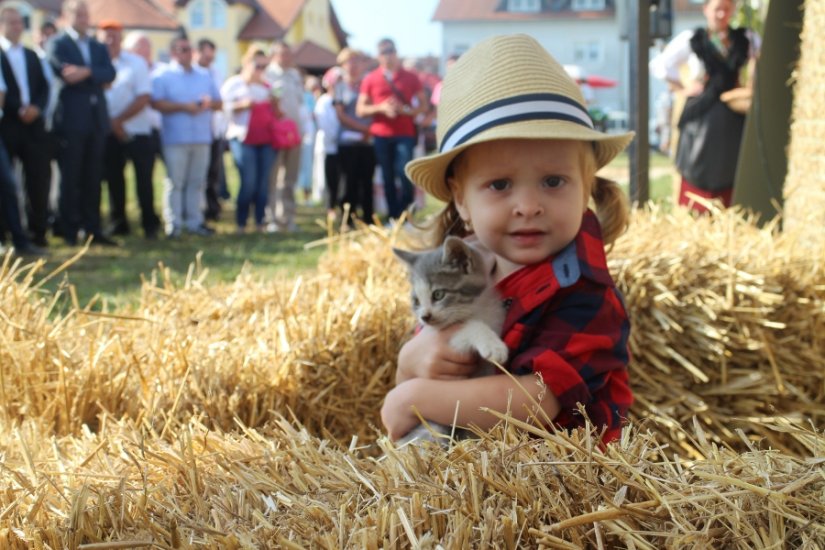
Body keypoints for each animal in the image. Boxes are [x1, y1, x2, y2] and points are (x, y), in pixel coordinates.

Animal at [390, 235, 506, 446]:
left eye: (438, 294)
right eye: (416, 301)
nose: (425, 317)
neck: (475, 309)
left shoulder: (497, 317)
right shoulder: (446, 338)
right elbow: (470, 327)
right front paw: (493, 346)